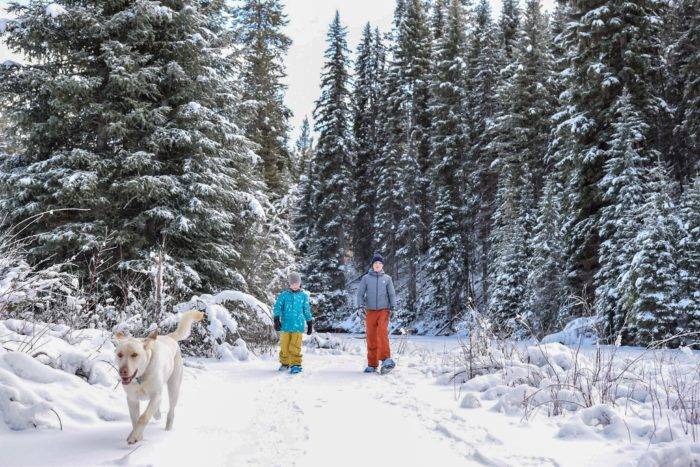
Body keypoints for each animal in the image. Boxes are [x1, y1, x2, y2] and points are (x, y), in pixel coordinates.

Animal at [113, 312, 204, 444]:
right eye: (119, 355)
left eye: (134, 354)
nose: (122, 371)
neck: (141, 378)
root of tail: (170, 337)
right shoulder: (132, 399)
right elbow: (135, 420)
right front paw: (137, 435)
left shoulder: (156, 395)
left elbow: (143, 417)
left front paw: (134, 437)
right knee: (156, 409)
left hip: (173, 388)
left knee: (171, 411)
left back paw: (167, 429)